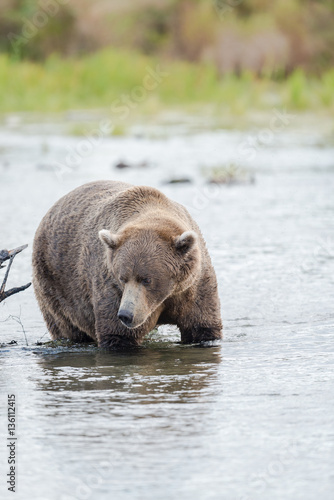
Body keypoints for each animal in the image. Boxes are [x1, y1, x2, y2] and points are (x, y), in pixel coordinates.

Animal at [32, 180, 222, 348]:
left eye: (147, 279)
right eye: (123, 278)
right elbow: (118, 335)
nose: (125, 315)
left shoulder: (194, 287)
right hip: (54, 285)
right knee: (65, 324)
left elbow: (202, 327)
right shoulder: (110, 284)